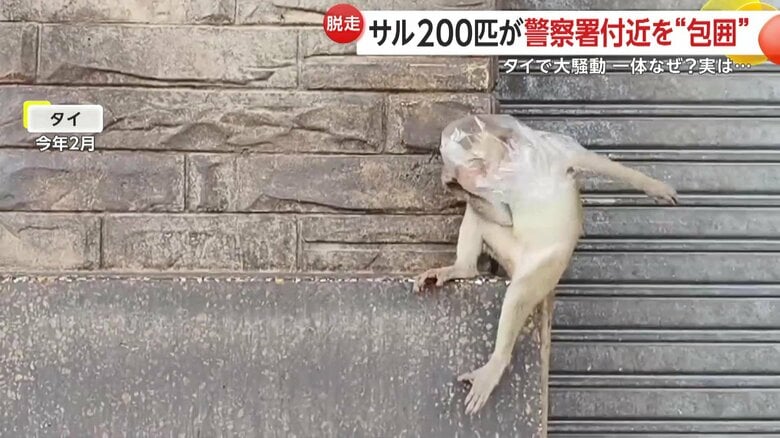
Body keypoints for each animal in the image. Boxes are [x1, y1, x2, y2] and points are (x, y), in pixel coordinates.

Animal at [415, 114, 678, 415]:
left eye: (473, 160)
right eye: (461, 168)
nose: (462, 177)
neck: (508, 166)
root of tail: (517, 265)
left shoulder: (549, 151)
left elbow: (590, 160)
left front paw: (655, 187)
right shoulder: (493, 185)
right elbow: (502, 215)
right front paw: (451, 183)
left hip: (545, 265)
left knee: (520, 295)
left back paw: (497, 360)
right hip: (511, 251)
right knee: (482, 217)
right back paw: (462, 269)